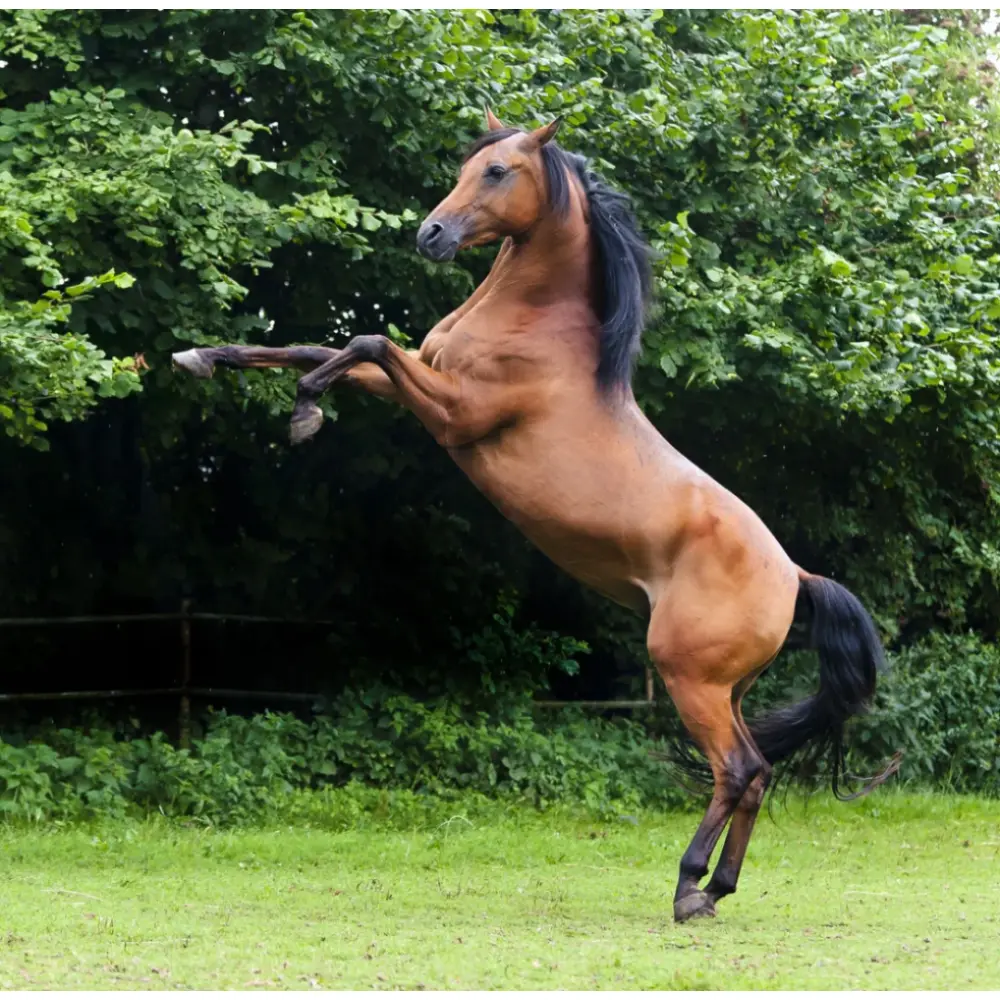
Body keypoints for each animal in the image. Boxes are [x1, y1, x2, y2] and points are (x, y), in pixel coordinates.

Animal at [172, 108, 898, 922]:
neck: (535, 327)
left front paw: (304, 414)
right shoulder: (417, 384)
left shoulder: (453, 414)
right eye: (467, 166)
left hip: (690, 679)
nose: (431, 234)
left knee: (738, 769)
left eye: (497, 172)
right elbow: (315, 346)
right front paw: (203, 356)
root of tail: (796, 575)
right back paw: (717, 890)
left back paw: (687, 887)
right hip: (726, 688)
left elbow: (365, 341)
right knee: (756, 773)